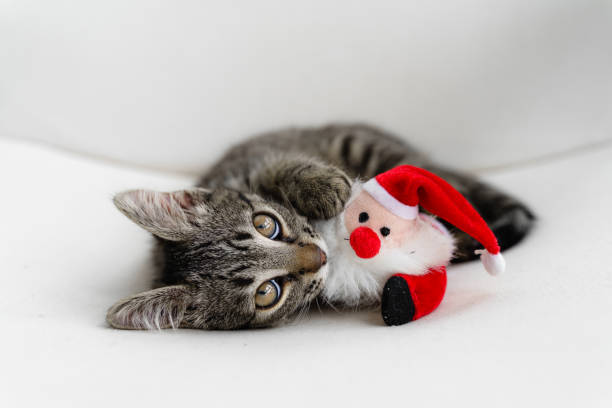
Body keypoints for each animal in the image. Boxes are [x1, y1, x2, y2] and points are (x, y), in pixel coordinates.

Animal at [107, 122, 532, 330]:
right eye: (267, 293)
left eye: (266, 224)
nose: (319, 255)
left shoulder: (261, 161)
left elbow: (282, 165)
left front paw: (322, 186)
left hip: (365, 146)